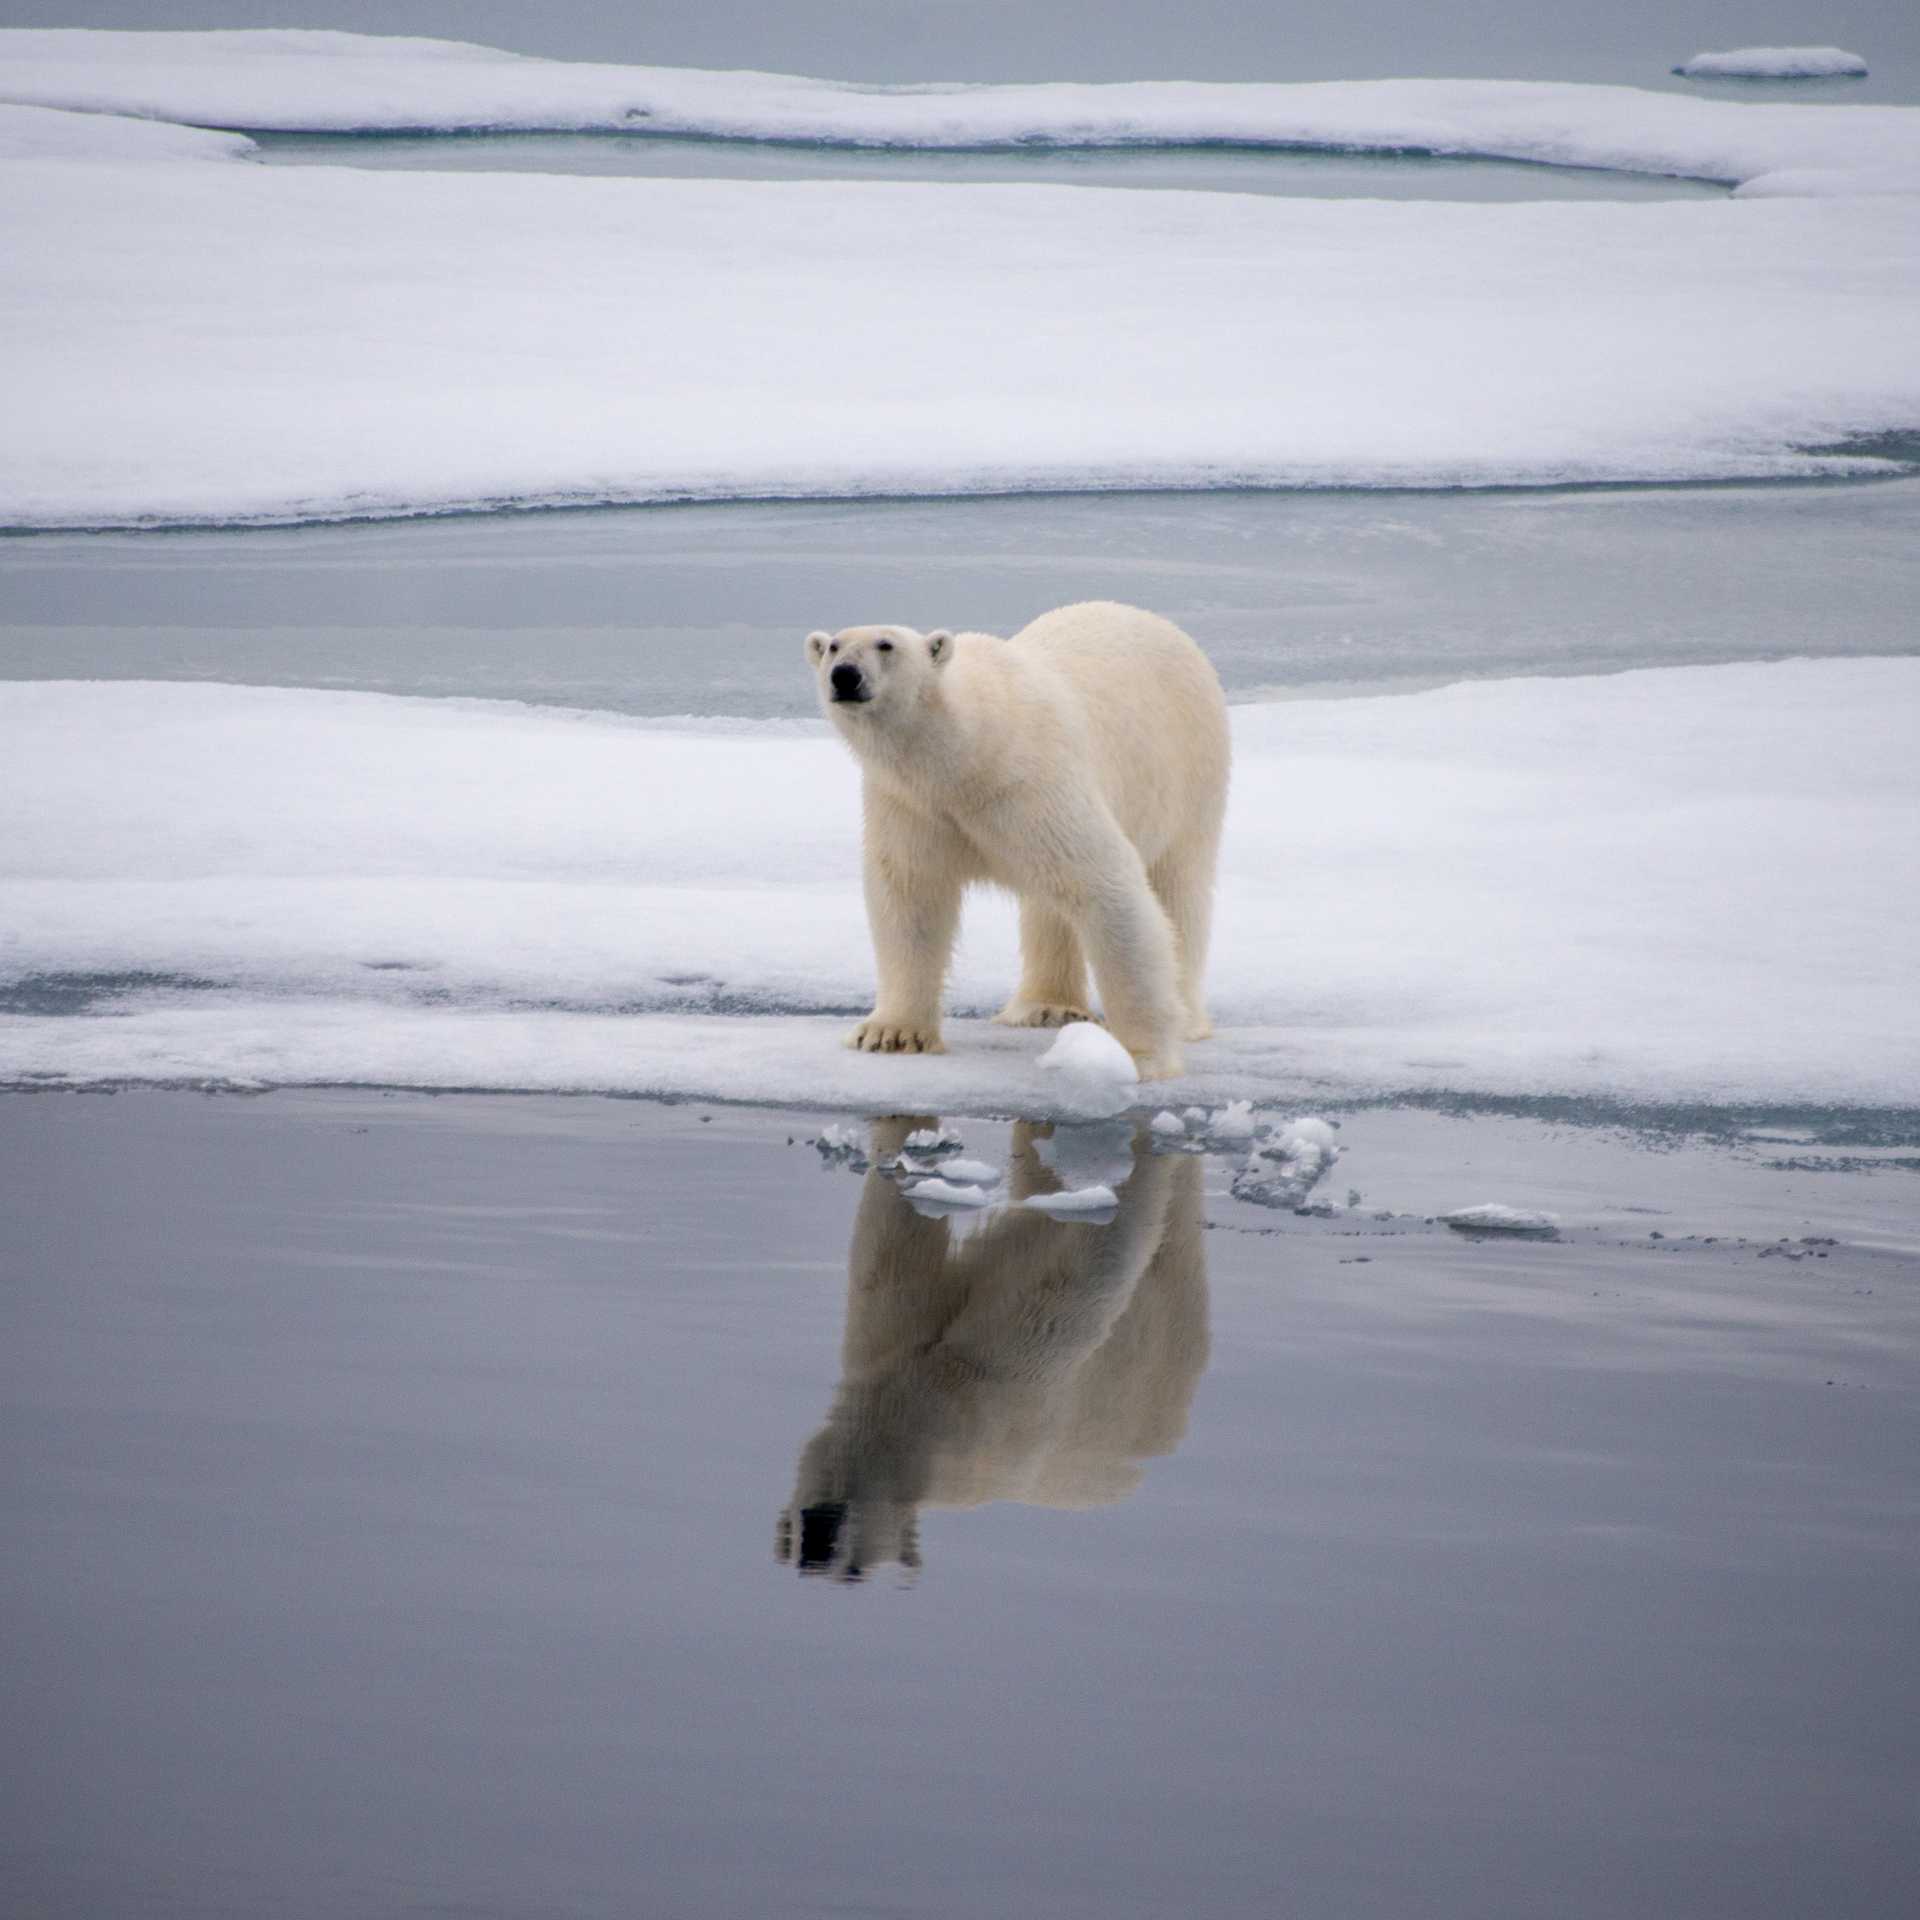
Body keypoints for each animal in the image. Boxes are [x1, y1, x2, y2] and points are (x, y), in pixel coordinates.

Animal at [776, 1116, 1210, 1582]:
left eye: (854, 1571)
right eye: (794, 1536)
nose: (817, 1542)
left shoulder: (1005, 1386)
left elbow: (1081, 1269)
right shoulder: (893, 1337)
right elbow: (891, 1248)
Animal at [805, 600, 1229, 1080]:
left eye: (885, 644)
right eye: (833, 646)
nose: (844, 675)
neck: (968, 757)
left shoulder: (1031, 785)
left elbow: (1107, 887)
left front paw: (1141, 1057)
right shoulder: (912, 805)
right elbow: (910, 896)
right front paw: (890, 1034)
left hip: (1191, 770)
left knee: (1179, 888)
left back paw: (1188, 1019)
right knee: (1049, 908)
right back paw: (1045, 1008)